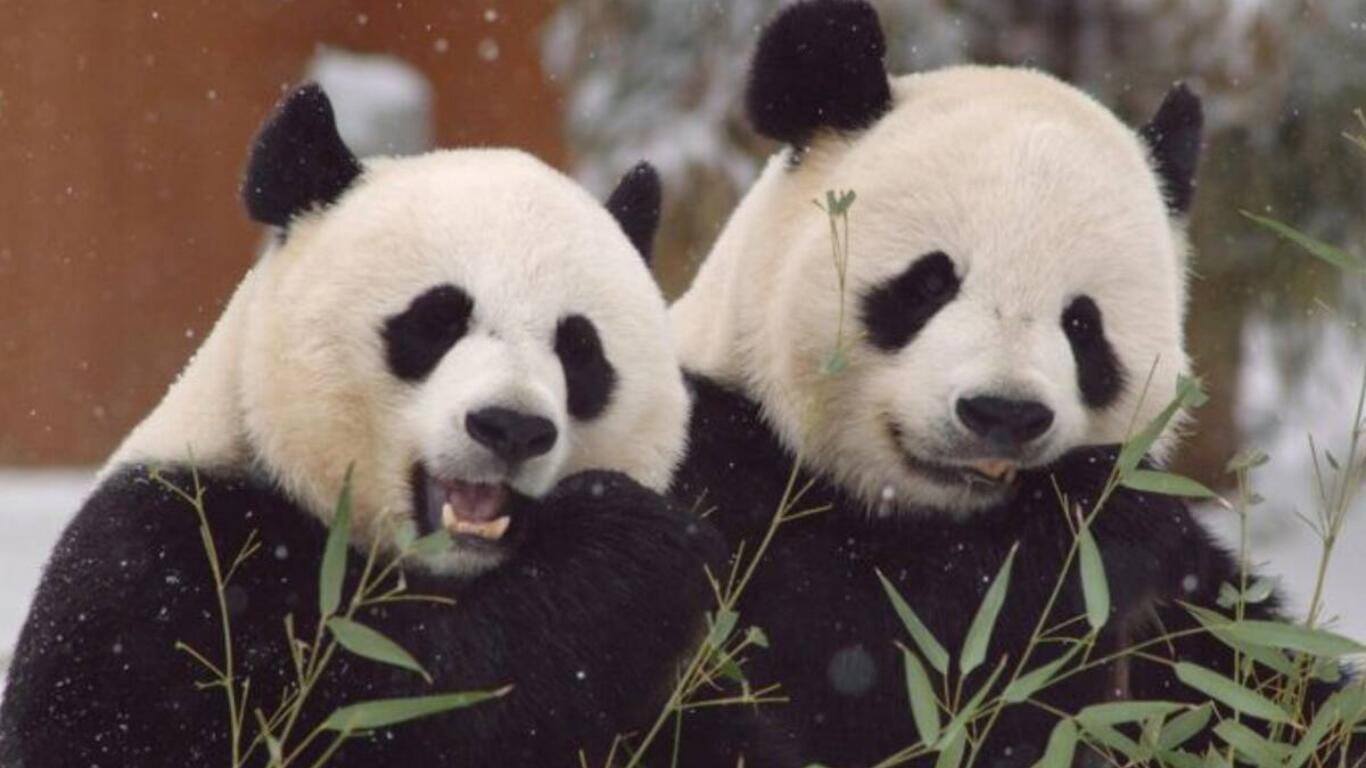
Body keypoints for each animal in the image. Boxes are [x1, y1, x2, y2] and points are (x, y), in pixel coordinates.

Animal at [0, 84, 722, 768]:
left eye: (579, 349)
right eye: (436, 321)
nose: (511, 428)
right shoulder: (164, 563)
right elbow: (398, 711)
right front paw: (629, 546)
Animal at [668, 2, 1343, 766]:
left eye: (1083, 325)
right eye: (928, 284)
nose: (1003, 413)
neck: (937, 516)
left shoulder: (1189, 625)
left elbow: (1264, 693)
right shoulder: (725, 478)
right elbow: (854, 655)